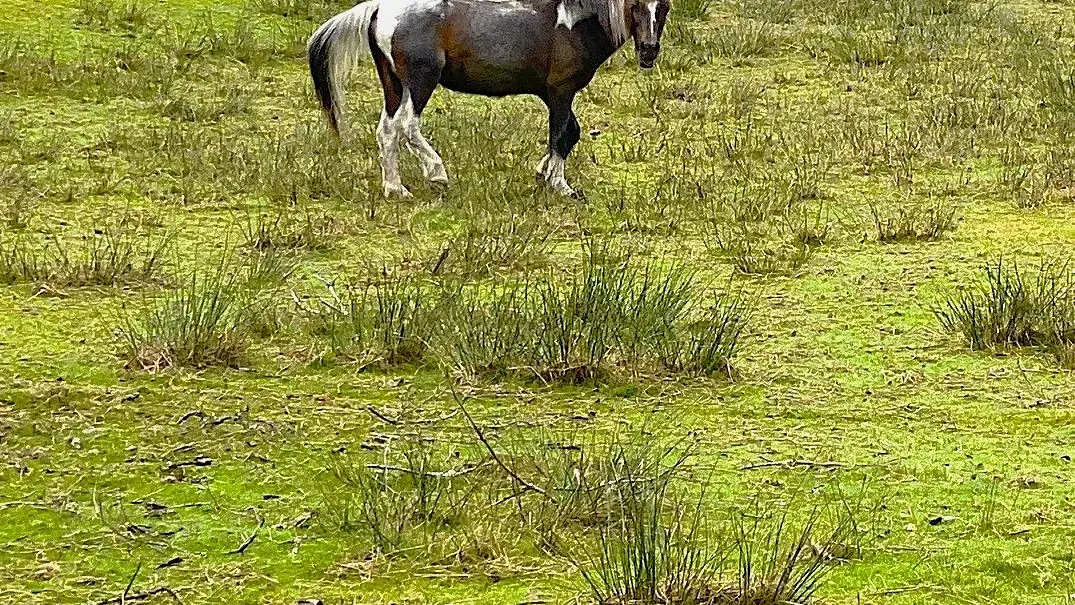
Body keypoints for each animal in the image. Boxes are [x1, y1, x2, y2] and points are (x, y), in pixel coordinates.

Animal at [307, 0, 671, 198]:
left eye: (663, 7)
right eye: (635, 6)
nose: (649, 51)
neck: (573, 21)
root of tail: (381, 8)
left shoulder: (556, 95)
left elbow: (570, 135)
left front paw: (542, 172)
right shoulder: (561, 92)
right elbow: (561, 135)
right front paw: (561, 185)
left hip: (394, 85)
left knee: (386, 132)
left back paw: (395, 188)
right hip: (421, 81)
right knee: (408, 127)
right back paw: (436, 173)